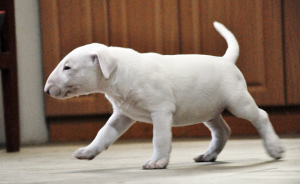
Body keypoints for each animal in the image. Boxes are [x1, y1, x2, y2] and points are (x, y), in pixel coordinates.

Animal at [44, 22, 284, 169]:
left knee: (261, 116)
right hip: (207, 109)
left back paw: (275, 148)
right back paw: (208, 155)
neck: (120, 72)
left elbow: (159, 138)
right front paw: (87, 152)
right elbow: (104, 133)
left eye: (67, 67)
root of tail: (226, 61)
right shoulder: (122, 114)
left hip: (238, 102)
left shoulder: (160, 111)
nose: (46, 90)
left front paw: (157, 161)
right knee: (222, 131)